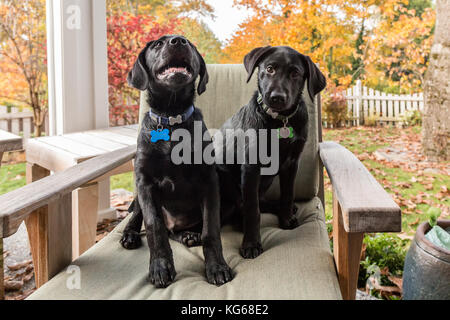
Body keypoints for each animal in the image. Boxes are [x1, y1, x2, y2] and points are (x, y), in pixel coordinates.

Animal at [121, 35, 234, 288]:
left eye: (190, 44)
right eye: (156, 45)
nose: (178, 41)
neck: (171, 119)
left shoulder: (209, 181)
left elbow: (211, 230)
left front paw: (217, 267)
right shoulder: (145, 183)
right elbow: (154, 227)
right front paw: (160, 267)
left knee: (180, 231)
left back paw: (189, 235)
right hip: (138, 194)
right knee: (139, 218)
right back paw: (130, 235)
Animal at [216, 45, 326, 260]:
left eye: (295, 73)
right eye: (269, 69)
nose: (276, 98)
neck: (280, 121)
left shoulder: (292, 163)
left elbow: (288, 193)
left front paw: (286, 218)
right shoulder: (251, 167)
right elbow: (253, 209)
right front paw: (251, 244)